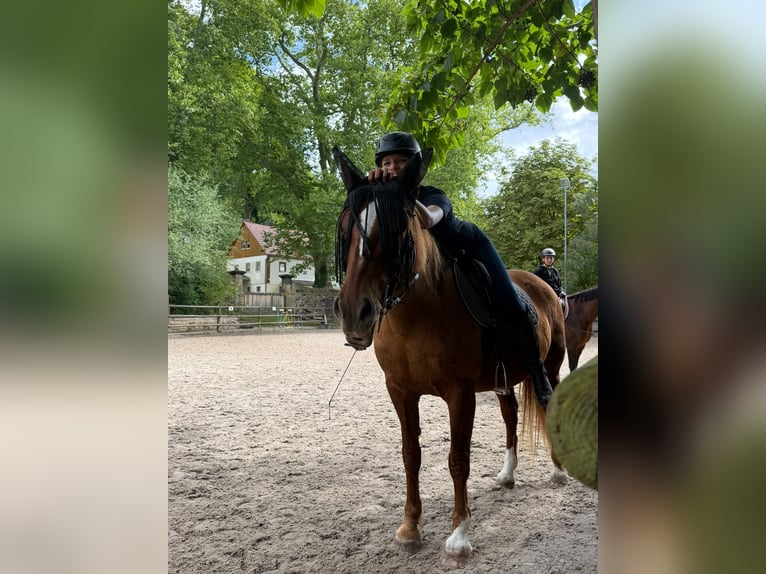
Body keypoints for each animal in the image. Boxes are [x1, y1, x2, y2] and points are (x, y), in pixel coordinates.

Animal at [332, 146, 567, 559]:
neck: (417, 315)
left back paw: (557, 471)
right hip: (504, 379)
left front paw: (459, 534)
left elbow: (458, 460)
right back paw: (507, 475)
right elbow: (411, 455)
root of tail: (540, 285)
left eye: (396, 232)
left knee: (546, 399)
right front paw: (410, 527)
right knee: (510, 416)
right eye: (346, 228)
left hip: (549, 367)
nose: (353, 312)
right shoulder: (400, 391)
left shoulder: (460, 395)